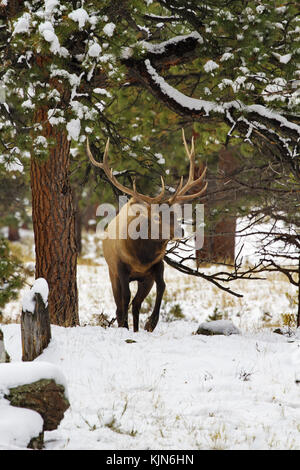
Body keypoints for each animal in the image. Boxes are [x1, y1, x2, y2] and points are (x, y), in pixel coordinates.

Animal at [87, 130, 206, 332]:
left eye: (175, 214)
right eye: (158, 217)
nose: (180, 232)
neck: (141, 257)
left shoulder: (158, 265)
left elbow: (162, 287)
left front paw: (151, 322)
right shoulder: (120, 267)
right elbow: (124, 299)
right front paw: (125, 326)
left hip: (144, 280)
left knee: (136, 304)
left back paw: (136, 328)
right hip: (112, 272)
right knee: (121, 305)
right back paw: (125, 325)